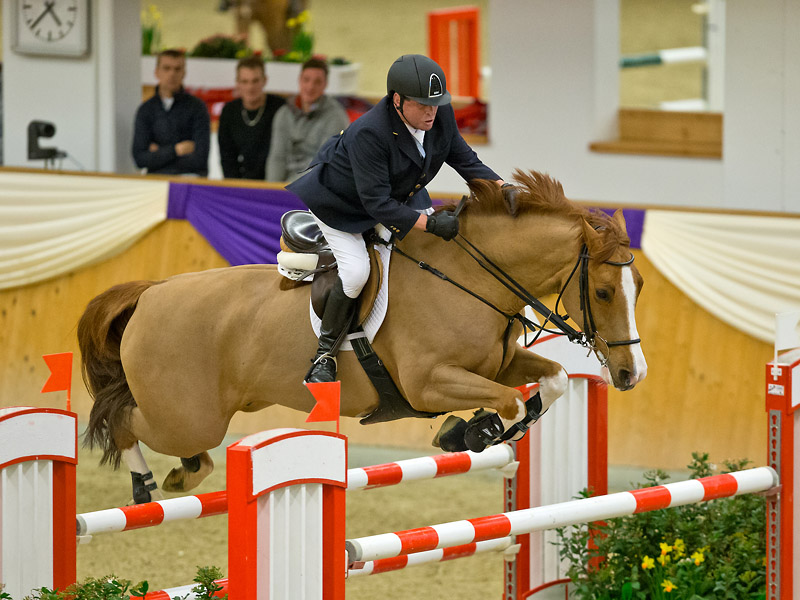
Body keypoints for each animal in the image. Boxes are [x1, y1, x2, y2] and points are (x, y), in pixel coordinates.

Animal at [78, 171, 648, 504]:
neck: (469, 277)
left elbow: (551, 381)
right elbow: (507, 404)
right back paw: (149, 483)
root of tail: (151, 294)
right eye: (602, 292)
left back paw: (181, 473)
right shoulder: (428, 382)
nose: (630, 374)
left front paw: (464, 432)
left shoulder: (498, 365)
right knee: (123, 420)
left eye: (637, 286)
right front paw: (472, 431)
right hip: (187, 416)